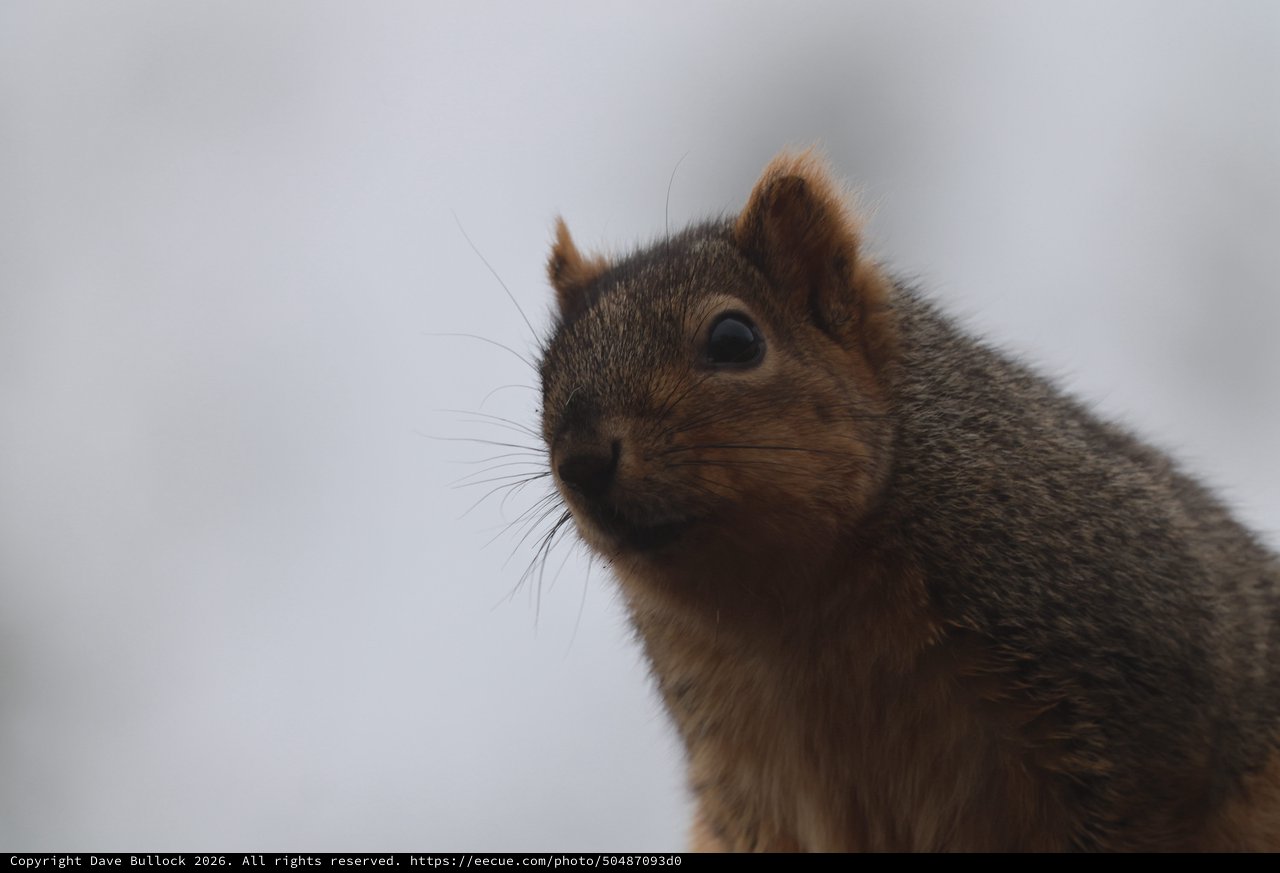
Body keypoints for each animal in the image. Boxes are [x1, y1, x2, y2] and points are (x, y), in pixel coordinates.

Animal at [535, 150, 1280, 851]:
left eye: (734, 339)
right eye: (546, 371)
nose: (582, 460)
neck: (792, 608)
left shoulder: (1148, 668)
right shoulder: (753, 788)